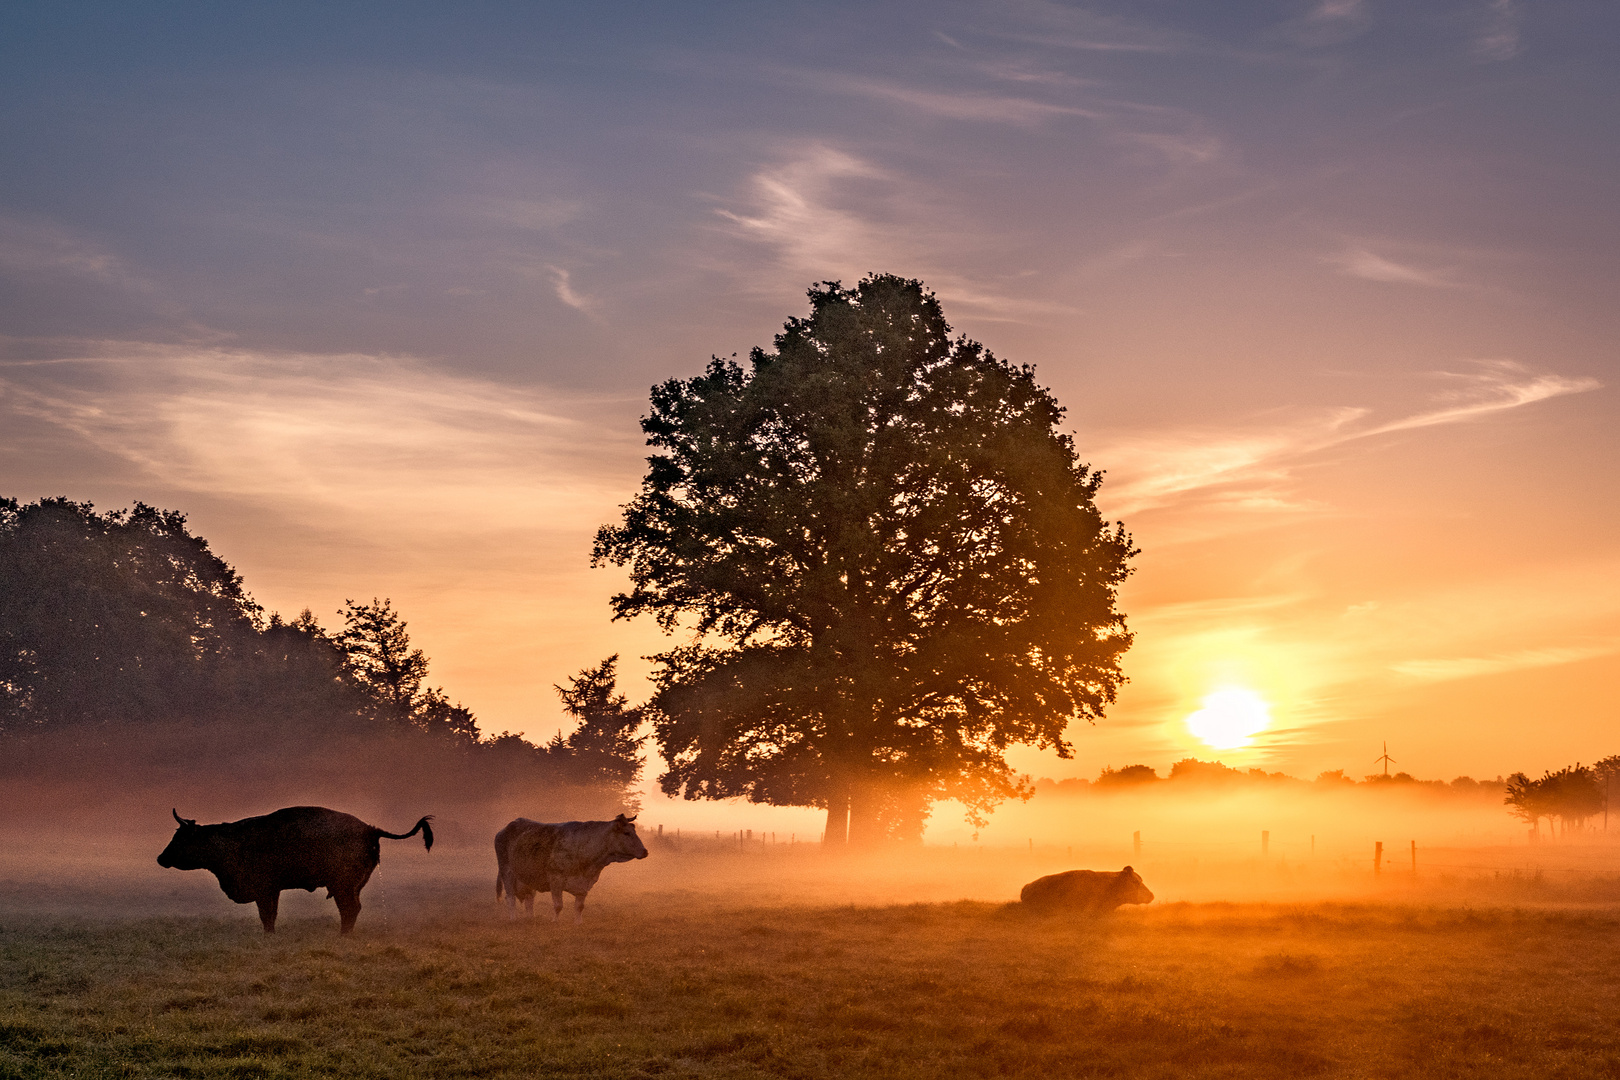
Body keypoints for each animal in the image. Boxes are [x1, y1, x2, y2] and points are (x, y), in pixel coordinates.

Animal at [155, 806, 434, 932]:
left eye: (180, 838)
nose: (160, 858)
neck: (230, 841)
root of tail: (370, 828)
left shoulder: (264, 890)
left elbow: (267, 916)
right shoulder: (272, 891)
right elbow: (270, 915)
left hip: (342, 885)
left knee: (350, 909)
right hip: (351, 885)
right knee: (352, 909)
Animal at [492, 816, 644, 926]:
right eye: (626, 833)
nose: (645, 851)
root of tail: (506, 828)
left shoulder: (585, 883)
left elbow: (580, 906)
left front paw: (578, 923)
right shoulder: (555, 879)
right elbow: (558, 905)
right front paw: (554, 921)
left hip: (528, 877)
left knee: (529, 899)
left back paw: (530, 918)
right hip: (507, 871)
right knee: (510, 898)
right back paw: (513, 919)